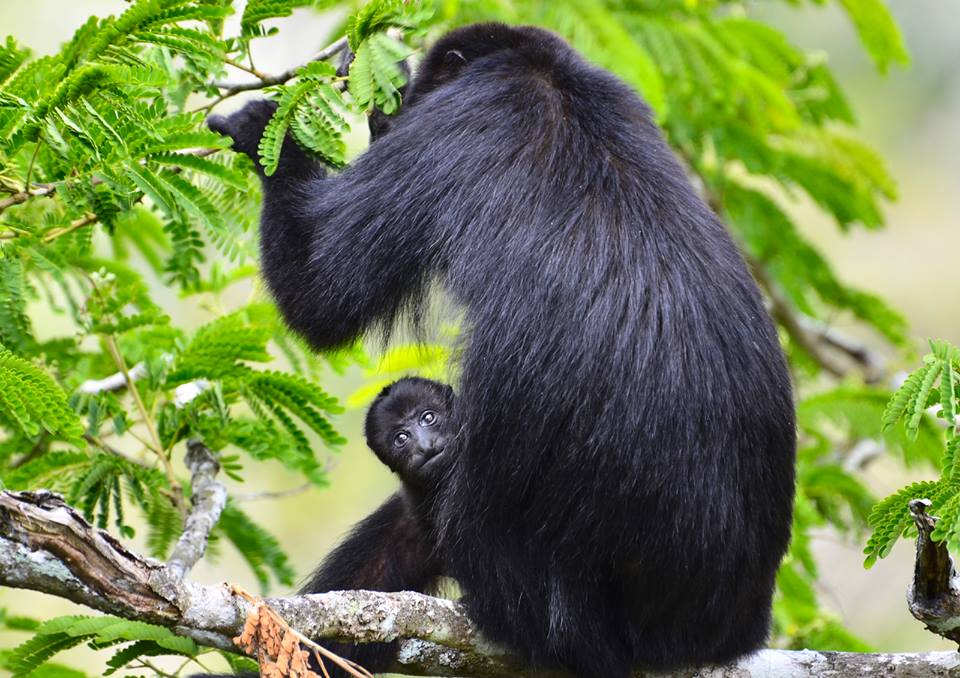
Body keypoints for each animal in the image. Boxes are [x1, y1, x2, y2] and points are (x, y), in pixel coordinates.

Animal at [207, 22, 796, 678]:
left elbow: (322, 294)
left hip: (555, 609)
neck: (546, 72)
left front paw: (262, 128)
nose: (392, 110)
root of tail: (714, 630)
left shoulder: (455, 123)